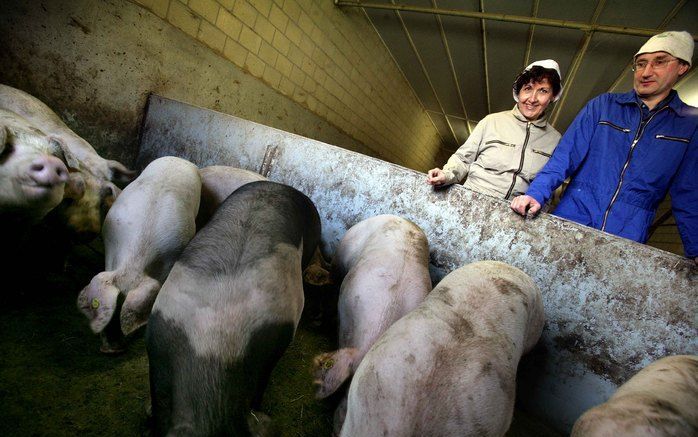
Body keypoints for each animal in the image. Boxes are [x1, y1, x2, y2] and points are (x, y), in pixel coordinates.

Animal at [312, 213, 430, 430]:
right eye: (350, 383)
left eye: (353, 390)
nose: (339, 425)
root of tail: (400, 218)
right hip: (343, 248)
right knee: (333, 273)